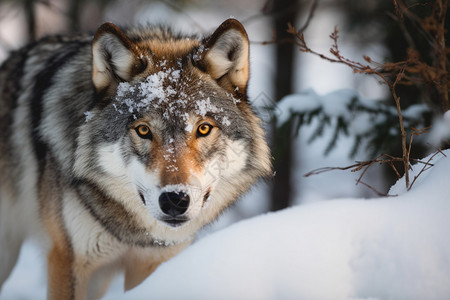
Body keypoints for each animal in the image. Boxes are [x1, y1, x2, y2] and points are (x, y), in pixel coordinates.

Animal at [0, 18, 270, 298]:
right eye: (143, 130)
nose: (175, 200)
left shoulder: (151, 264)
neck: (134, 234)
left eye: (204, 129)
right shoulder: (67, 259)